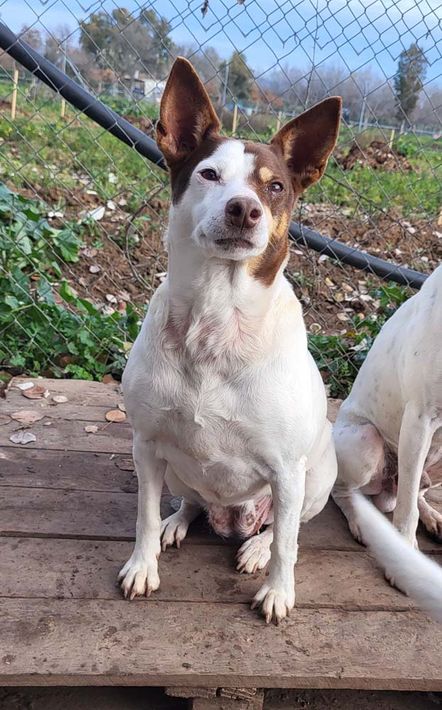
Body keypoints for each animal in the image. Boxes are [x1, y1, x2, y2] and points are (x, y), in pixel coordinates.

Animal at [118, 57, 341, 623]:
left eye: (276, 187)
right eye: (209, 174)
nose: (244, 209)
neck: (217, 319)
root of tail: (231, 518)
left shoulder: (287, 469)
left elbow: (287, 544)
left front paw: (278, 591)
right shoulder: (146, 445)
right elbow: (142, 516)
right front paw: (143, 564)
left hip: (315, 479)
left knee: (284, 526)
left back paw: (256, 545)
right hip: (175, 469)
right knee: (193, 500)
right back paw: (180, 521)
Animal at [333, 265, 442, 620]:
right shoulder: (420, 417)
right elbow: (406, 511)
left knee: (416, 488)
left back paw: (433, 516)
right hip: (366, 443)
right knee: (346, 492)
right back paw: (360, 521)